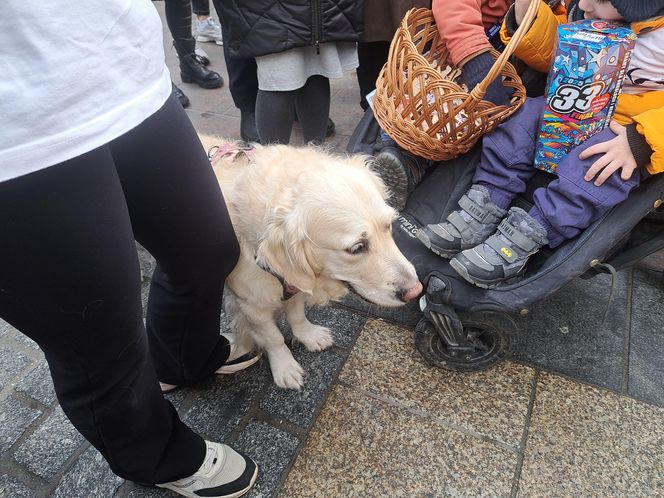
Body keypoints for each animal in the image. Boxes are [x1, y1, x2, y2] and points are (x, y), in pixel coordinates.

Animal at [204, 138, 420, 392]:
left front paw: (309, 336)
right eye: (357, 248)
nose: (416, 290)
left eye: (389, 225)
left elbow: (297, 315)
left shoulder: (297, 281)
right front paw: (285, 367)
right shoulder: (252, 307)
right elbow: (273, 338)